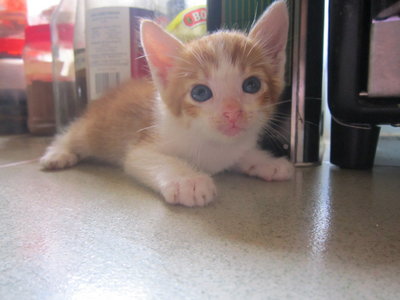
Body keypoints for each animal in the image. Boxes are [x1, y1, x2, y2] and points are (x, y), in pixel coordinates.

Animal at [40, 0, 294, 206]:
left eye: (252, 85)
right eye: (200, 92)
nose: (232, 112)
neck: (212, 144)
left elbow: (241, 154)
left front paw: (265, 161)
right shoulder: (142, 147)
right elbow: (153, 159)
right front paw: (189, 181)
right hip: (96, 127)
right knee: (72, 133)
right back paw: (58, 153)